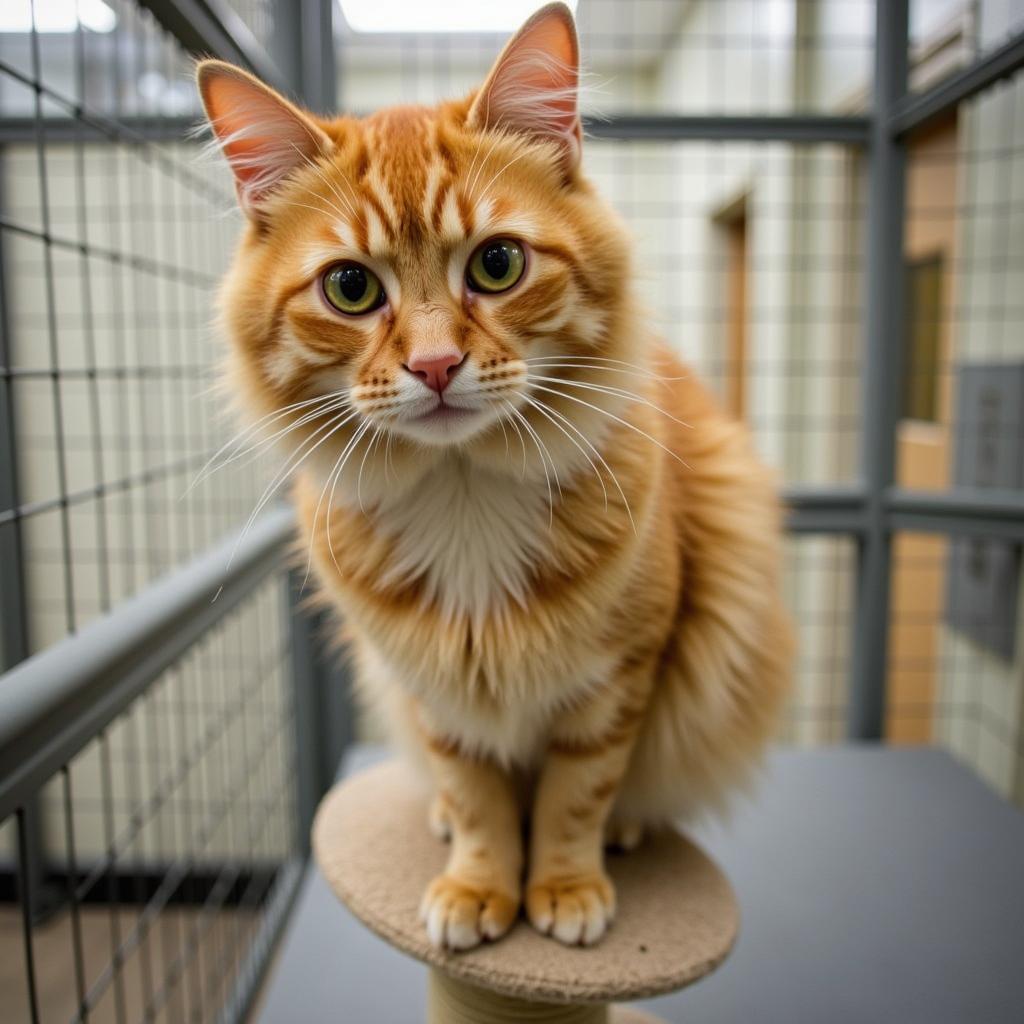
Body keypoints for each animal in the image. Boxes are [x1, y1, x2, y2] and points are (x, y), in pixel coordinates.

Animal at [197, 2, 790, 950]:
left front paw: (564, 886)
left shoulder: (621, 676)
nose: (436, 365)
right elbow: (478, 798)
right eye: (351, 287)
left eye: (497, 265)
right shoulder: (435, 694)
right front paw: (480, 886)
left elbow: (575, 796)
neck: (463, 493)